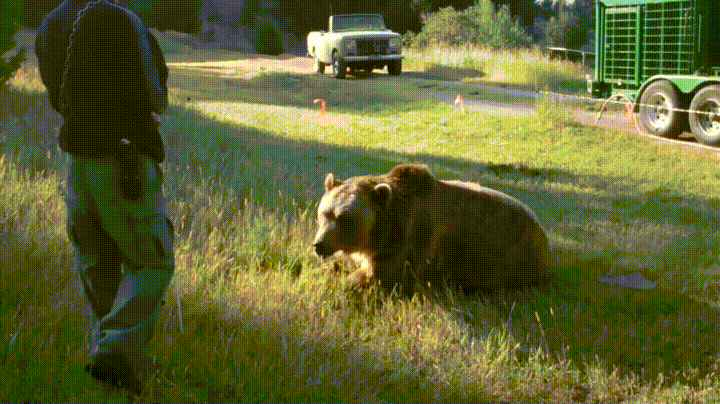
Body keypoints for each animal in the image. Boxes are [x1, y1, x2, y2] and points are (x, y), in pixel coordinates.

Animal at [312, 164, 550, 294]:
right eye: (324, 213)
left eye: (345, 218)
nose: (319, 244)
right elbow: (349, 262)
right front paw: (324, 268)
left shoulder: (410, 244)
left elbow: (378, 276)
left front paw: (341, 283)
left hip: (507, 261)